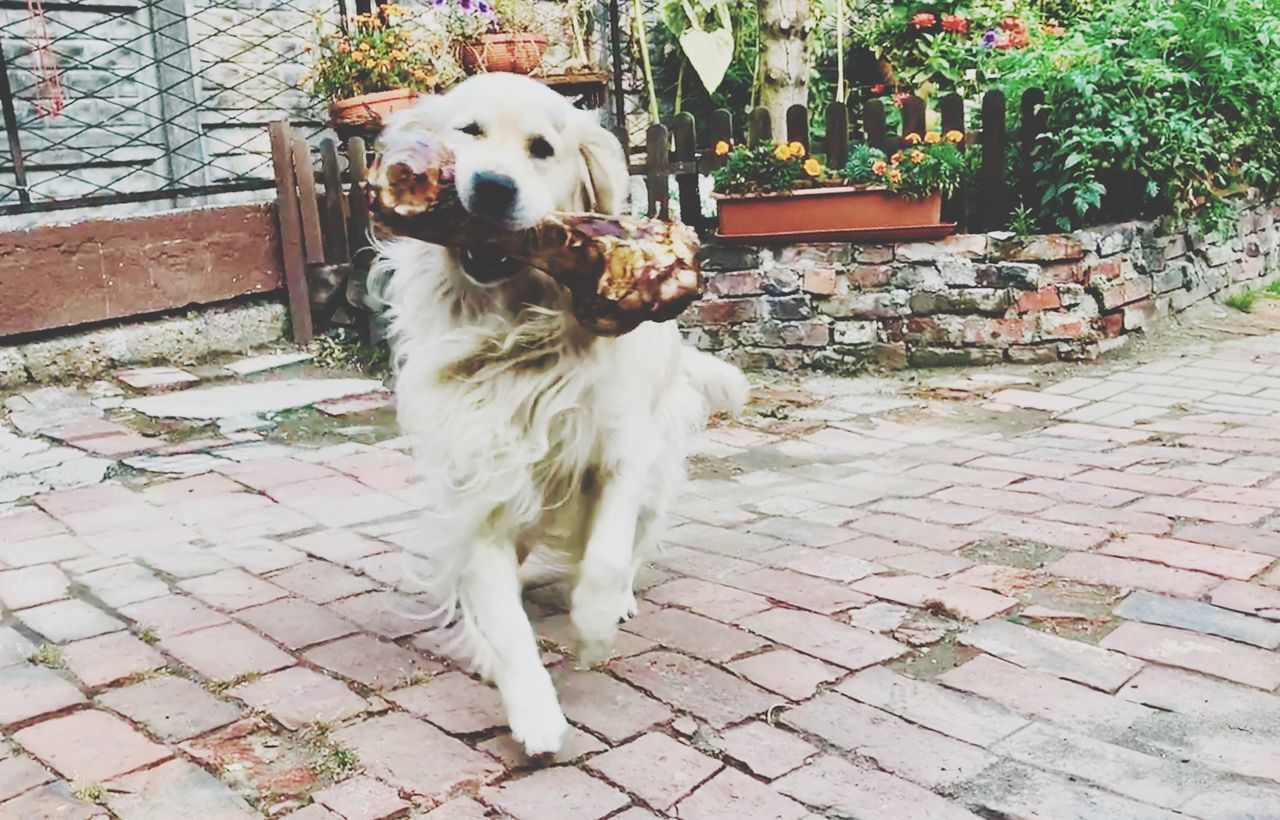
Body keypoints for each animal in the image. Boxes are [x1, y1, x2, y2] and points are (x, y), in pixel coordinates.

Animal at [373, 73, 747, 752]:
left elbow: (604, 558)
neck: (516, 336)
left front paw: (595, 628)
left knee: (634, 541)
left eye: (542, 148)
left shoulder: (623, 454)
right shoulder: (478, 483)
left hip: (658, 468)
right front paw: (533, 709)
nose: (493, 188)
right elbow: (499, 612)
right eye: (468, 132)